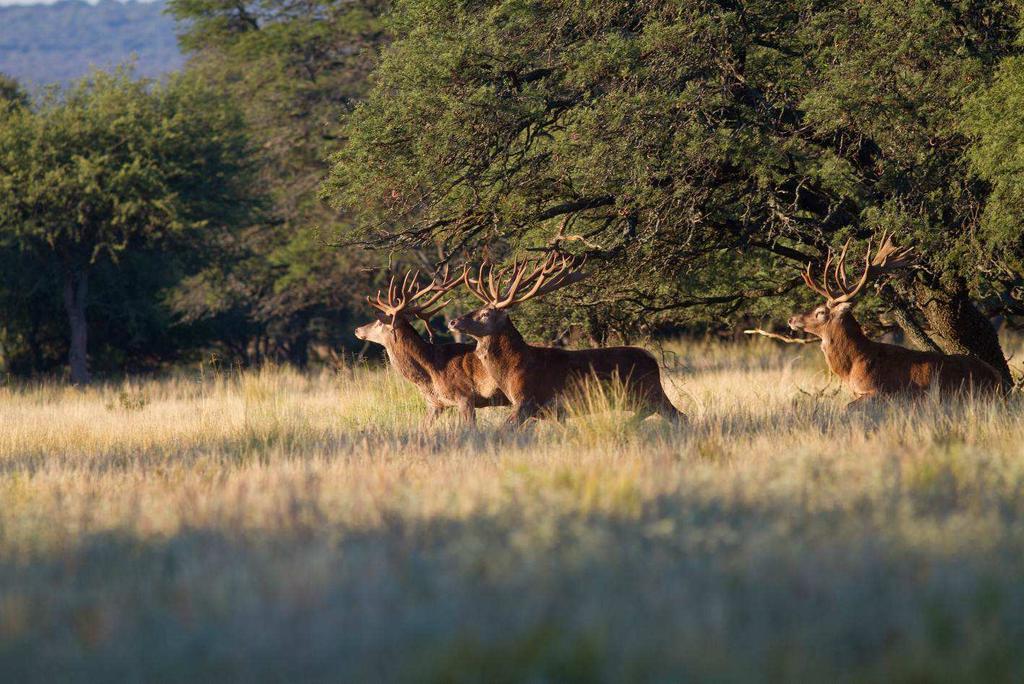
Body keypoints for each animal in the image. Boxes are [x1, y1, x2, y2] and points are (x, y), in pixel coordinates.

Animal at [446, 253, 679, 423]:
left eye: (486, 313)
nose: (453, 322)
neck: (512, 369)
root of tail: (653, 360)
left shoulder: (528, 400)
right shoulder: (553, 413)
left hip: (648, 392)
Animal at [790, 232, 999, 403]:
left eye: (820, 312)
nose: (791, 319)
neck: (855, 365)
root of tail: (999, 379)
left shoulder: (883, 391)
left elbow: (848, 406)